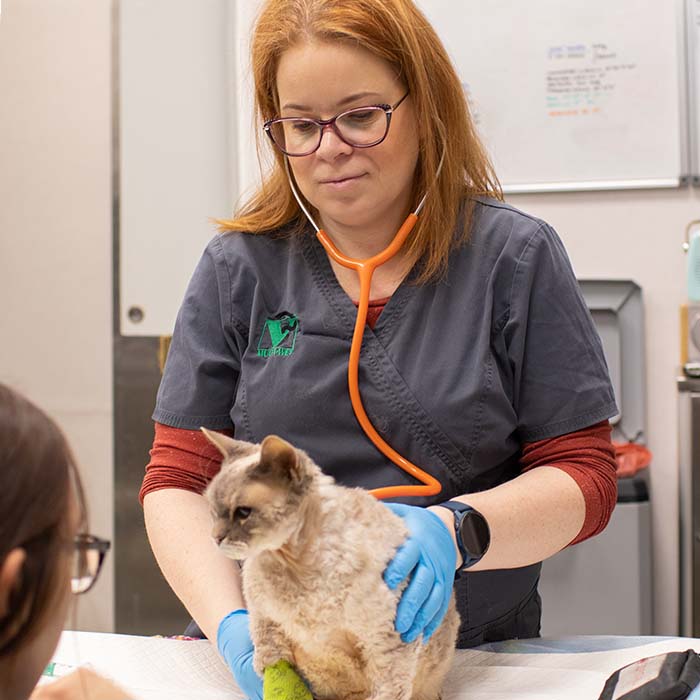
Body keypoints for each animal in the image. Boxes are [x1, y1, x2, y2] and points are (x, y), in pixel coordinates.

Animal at [202, 432, 460, 700]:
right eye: (213, 511)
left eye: (243, 512)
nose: (215, 537)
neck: (294, 566)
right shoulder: (265, 621)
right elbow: (275, 668)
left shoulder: (387, 641)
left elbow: (388, 690)